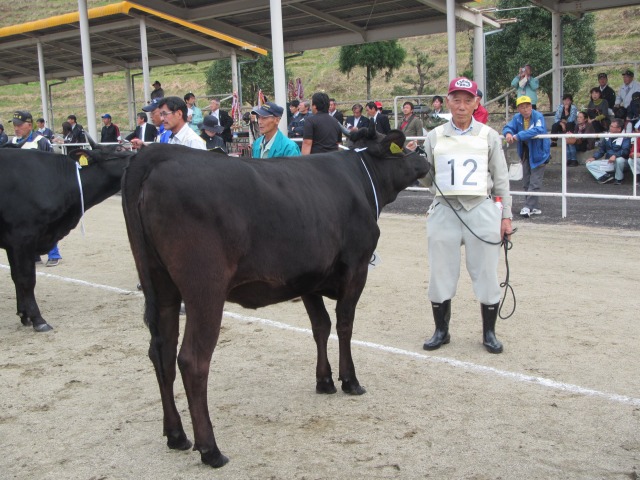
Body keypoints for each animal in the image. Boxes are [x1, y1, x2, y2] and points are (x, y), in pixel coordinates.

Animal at [0, 141, 134, 332]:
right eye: (118, 149)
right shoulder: (22, 238)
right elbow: (25, 279)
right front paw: (37, 319)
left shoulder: (14, 243)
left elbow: (16, 277)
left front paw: (24, 316)